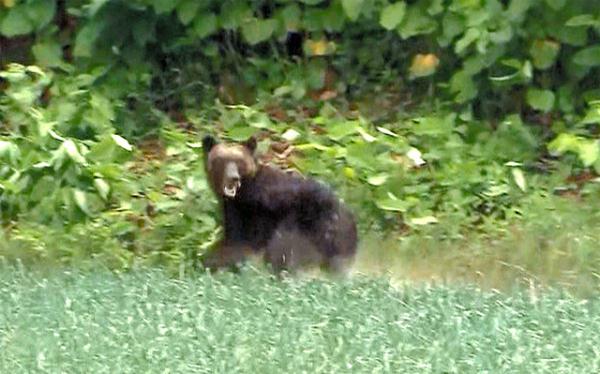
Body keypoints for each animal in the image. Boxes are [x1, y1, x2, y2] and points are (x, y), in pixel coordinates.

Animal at [199, 135, 358, 274]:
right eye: (222, 159)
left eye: (239, 161)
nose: (233, 178)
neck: (244, 195)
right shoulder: (234, 211)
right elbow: (235, 240)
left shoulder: (266, 203)